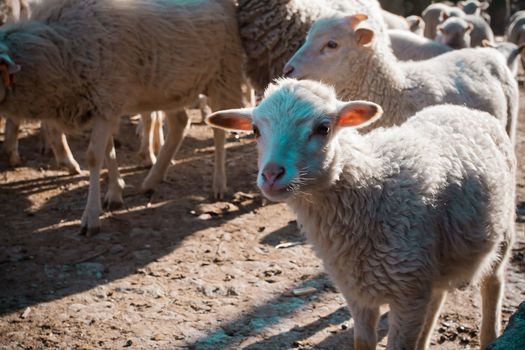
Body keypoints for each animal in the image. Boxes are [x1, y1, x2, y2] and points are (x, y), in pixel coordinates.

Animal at [0, 0, 244, 235]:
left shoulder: (106, 98)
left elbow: (94, 157)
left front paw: (91, 217)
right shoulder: (106, 105)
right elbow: (108, 151)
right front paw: (115, 192)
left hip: (224, 73)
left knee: (218, 130)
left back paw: (218, 184)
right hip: (169, 88)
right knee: (179, 124)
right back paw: (152, 179)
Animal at [206, 78, 516, 350]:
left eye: (323, 128)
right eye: (255, 130)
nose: (271, 175)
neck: (375, 186)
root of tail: (462, 109)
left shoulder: (408, 294)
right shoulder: (358, 291)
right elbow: (363, 342)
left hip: (503, 234)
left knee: (493, 283)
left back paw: (491, 334)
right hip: (434, 264)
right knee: (438, 296)